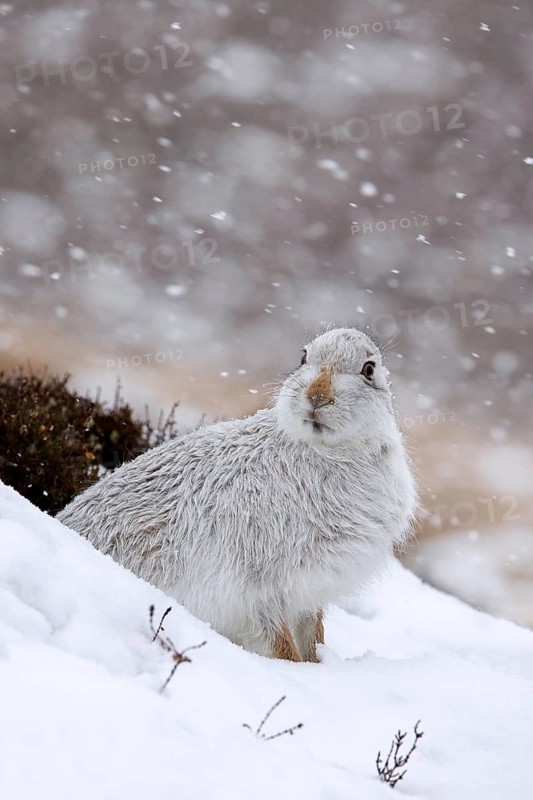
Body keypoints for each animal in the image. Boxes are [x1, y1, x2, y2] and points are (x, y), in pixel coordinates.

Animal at [58, 327, 417, 662]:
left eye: (368, 369)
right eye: (304, 358)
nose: (317, 397)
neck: (324, 449)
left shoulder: (308, 591)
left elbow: (313, 635)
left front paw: (319, 665)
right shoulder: (261, 587)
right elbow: (280, 644)